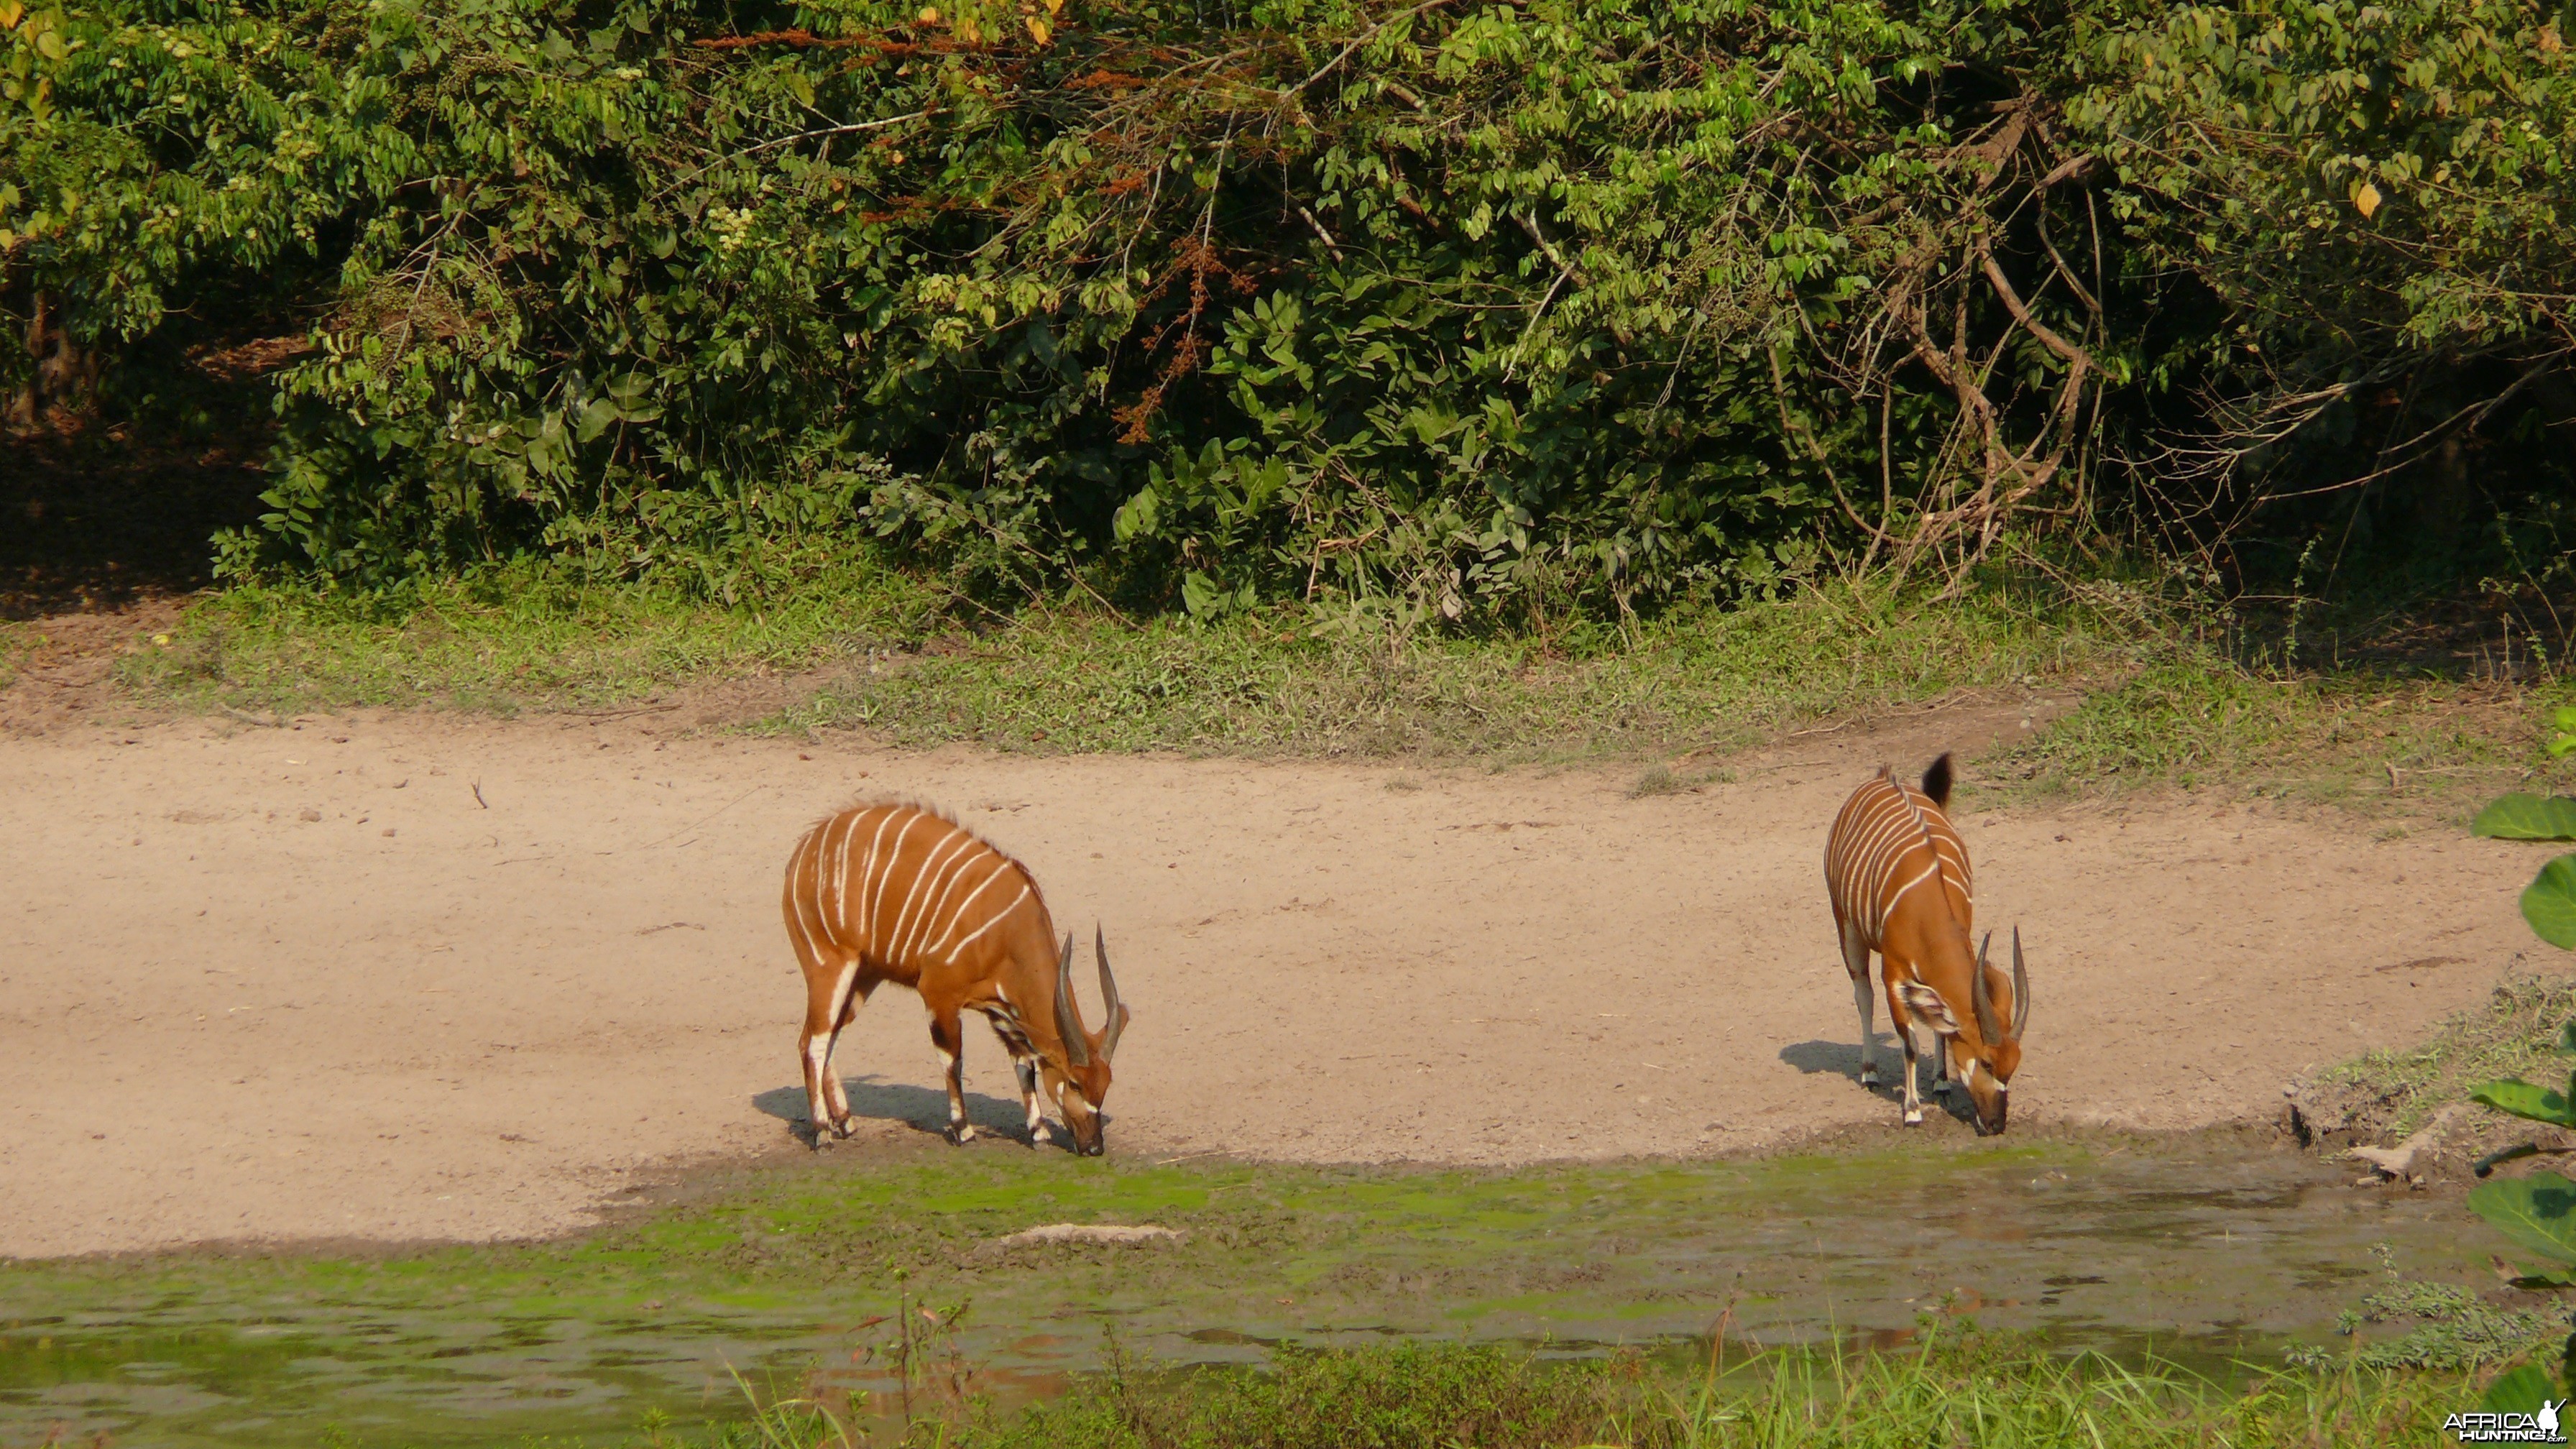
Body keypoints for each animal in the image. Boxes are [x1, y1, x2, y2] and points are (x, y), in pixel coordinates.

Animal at [783, 799, 1128, 1149]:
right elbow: (952, 1059)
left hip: (863, 978)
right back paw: (823, 1132)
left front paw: (1039, 1131)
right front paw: (964, 1129)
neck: (1006, 931)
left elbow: (1023, 1063)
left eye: (1106, 1084)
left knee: (828, 1039)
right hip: (828, 967)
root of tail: (804, 850)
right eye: (1074, 1083)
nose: (1094, 1146)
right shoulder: (938, 994)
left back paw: (845, 1122)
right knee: (812, 1042)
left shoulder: (1001, 1009)